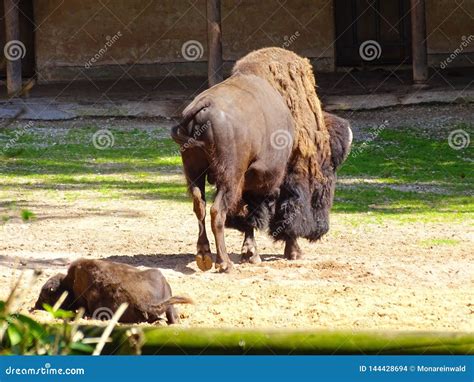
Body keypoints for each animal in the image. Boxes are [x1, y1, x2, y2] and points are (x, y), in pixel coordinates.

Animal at [171, 47, 352, 274]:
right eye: (328, 175)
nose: (322, 228)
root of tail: (204, 106)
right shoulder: (280, 180)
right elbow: (281, 214)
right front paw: (293, 252)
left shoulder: (252, 183)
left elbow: (249, 217)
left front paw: (251, 254)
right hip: (229, 178)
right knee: (216, 212)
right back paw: (225, 264)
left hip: (195, 173)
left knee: (200, 206)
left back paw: (204, 257)